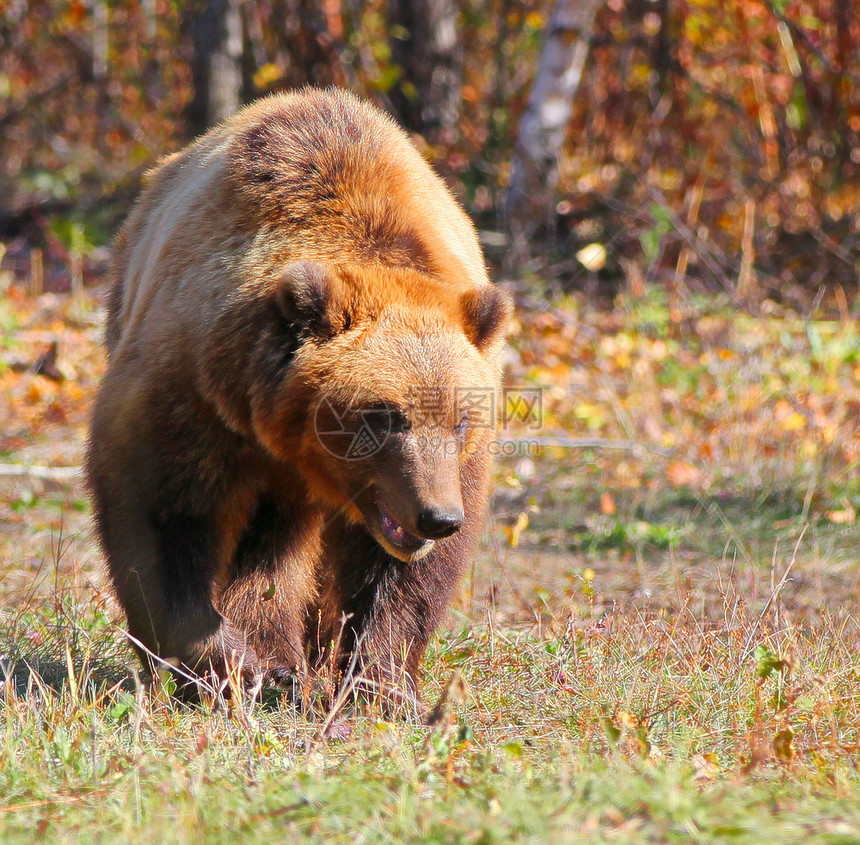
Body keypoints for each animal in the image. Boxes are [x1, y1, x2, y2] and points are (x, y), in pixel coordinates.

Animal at [85, 85, 510, 708]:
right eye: (385, 416)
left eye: (461, 418)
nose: (437, 518)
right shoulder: (192, 392)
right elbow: (162, 517)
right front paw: (229, 664)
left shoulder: (455, 468)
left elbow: (404, 580)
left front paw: (380, 681)